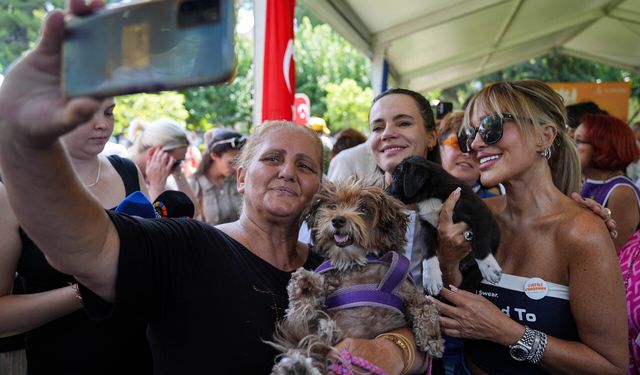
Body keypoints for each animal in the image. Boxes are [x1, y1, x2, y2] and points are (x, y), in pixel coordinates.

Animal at [268, 179, 442, 375]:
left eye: (363, 209)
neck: (355, 264)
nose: (337, 220)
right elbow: (299, 313)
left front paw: (432, 339)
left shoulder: (408, 290)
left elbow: (426, 307)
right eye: (333, 206)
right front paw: (304, 286)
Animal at [384, 156, 500, 296]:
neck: (431, 195)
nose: (383, 192)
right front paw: (431, 278)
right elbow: (428, 250)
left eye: (395, 177)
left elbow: (480, 242)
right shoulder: (426, 225)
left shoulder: (480, 212)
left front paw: (489, 267)